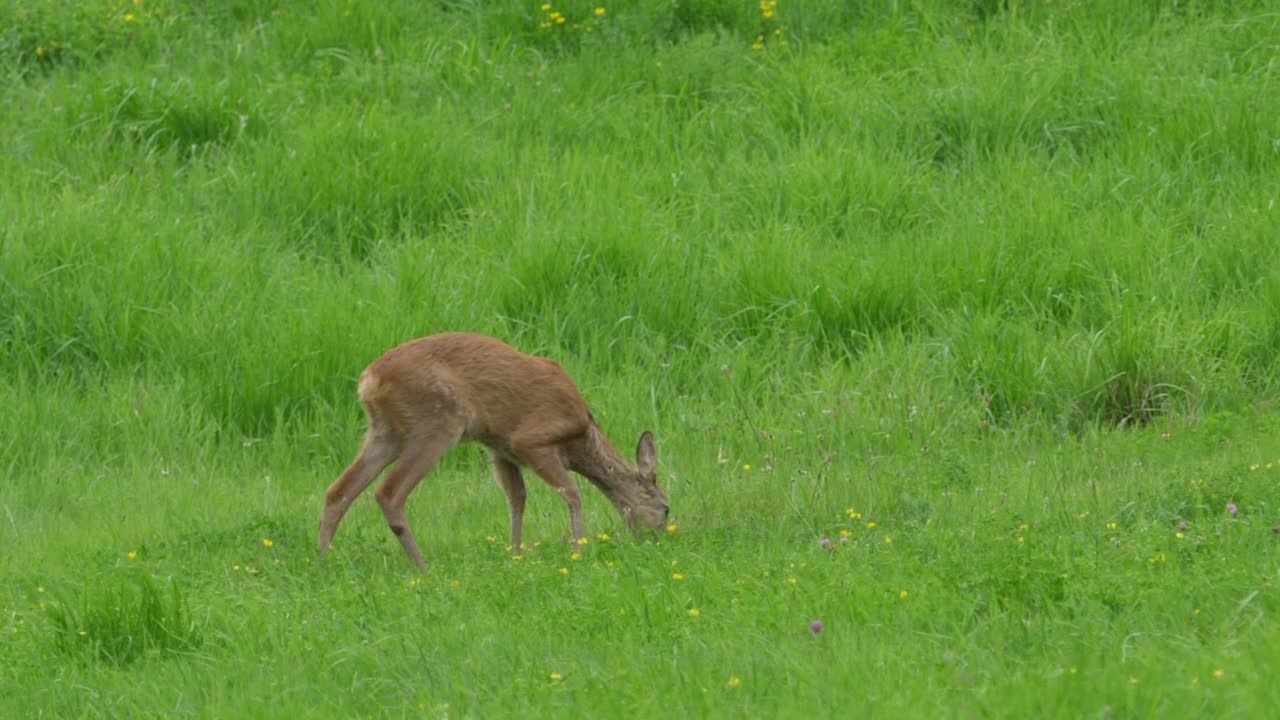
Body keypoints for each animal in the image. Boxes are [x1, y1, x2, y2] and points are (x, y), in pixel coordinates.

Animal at [317, 330, 670, 566]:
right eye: (666, 508)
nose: (659, 539)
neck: (582, 440)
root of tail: (369, 380)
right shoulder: (531, 439)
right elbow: (572, 492)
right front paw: (578, 551)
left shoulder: (500, 451)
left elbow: (517, 499)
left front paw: (516, 553)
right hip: (435, 422)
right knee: (389, 492)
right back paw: (422, 566)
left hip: (384, 431)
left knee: (338, 490)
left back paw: (323, 561)